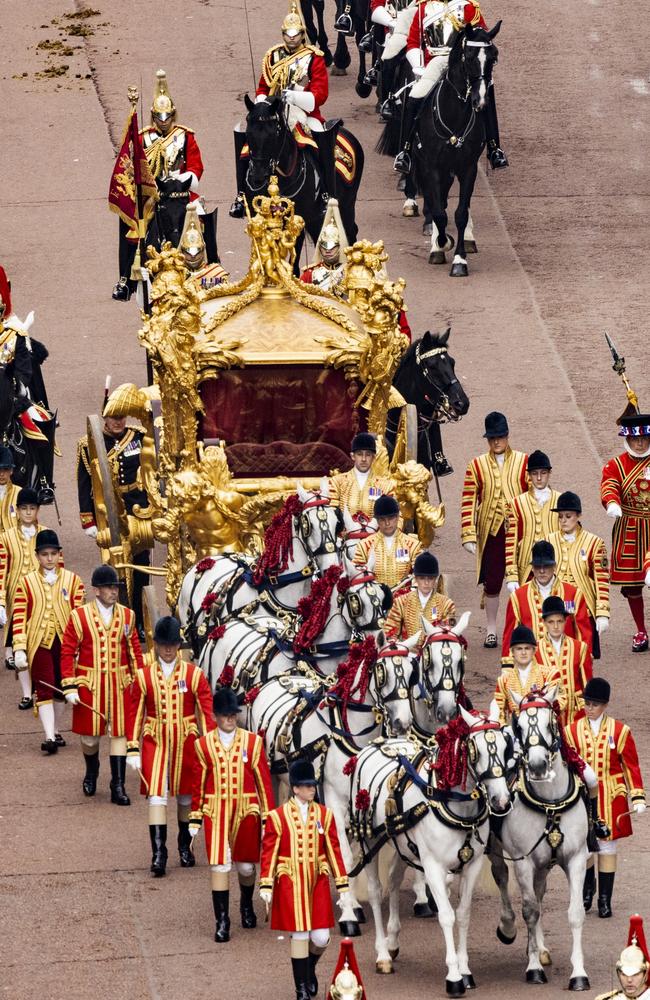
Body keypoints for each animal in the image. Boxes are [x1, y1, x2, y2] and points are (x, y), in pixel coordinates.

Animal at [243, 95, 364, 260]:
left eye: (273, 134)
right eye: (248, 133)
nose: (258, 175)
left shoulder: (298, 218)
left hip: (347, 205)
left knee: (350, 231)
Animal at [350, 704, 512, 992]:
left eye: (506, 746)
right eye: (476, 749)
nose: (501, 800)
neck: (453, 804)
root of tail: (378, 744)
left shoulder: (471, 865)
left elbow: (464, 914)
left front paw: (466, 970)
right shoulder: (434, 867)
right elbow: (447, 915)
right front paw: (454, 977)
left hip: (403, 846)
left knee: (393, 880)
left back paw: (393, 941)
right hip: (369, 843)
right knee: (375, 891)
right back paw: (382, 954)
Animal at [488, 692, 588, 988]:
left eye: (550, 722)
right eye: (519, 726)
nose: (538, 766)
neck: (550, 803)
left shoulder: (577, 858)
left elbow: (575, 913)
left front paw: (579, 974)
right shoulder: (523, 861)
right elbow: (530, 911)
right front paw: (533, 969)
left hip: (544, 863)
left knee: (540, 891)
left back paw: (541, 947)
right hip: (498, 849)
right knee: (501, 876)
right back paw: (508, 928)